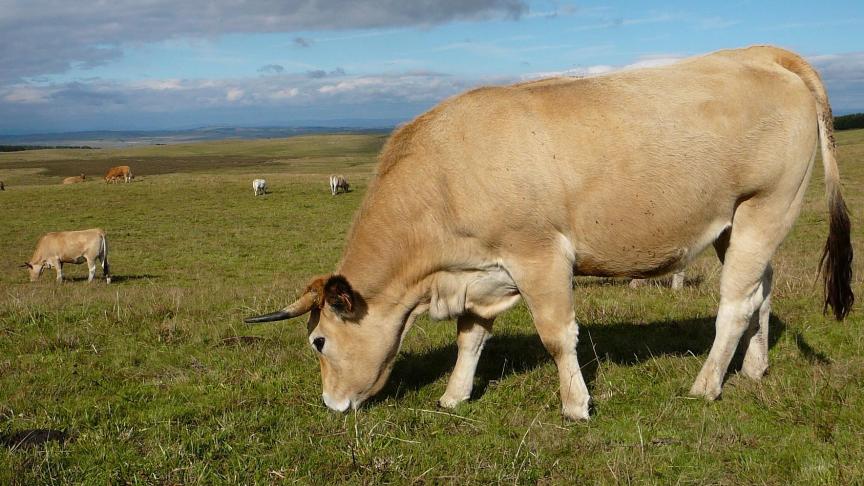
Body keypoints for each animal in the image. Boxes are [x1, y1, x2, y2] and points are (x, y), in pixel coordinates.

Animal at [245, 46, 853, 420]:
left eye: (319, 342)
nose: (331, 404)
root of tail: (761, 53)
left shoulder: (538, 254)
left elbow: (558, 335)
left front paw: (575, 404)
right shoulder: (481, 272)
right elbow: (469, 337)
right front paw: (454, 395)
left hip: (765, 207)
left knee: (736, 303)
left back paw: (706, 384)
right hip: (740, 224)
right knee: (762, 292)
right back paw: (754, 368)